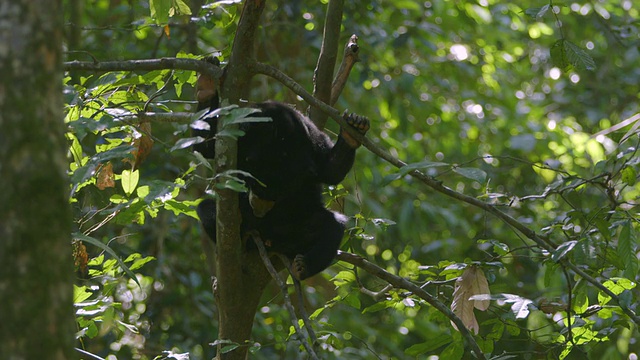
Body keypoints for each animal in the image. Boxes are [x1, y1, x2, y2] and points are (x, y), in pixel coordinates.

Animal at [192, 59, 368, 280]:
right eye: (254, 181)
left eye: (282, 192)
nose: (259, 209)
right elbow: (205, 146)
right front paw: (207, 87)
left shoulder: (311, 137)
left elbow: (331, 170)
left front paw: (353, 130)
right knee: (207, 208)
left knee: (333, 225)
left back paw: (304, 266)